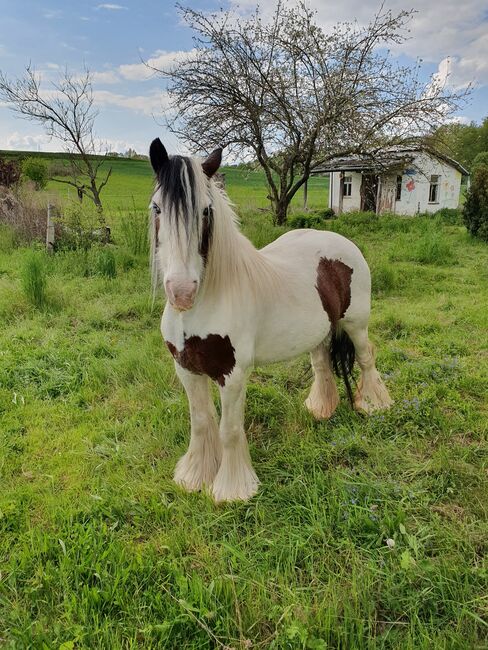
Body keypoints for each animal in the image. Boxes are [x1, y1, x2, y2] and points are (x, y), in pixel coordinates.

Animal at [149, 137, 392, 502]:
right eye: (157, 208)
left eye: (205, 211)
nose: (181, 291)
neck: (206, 302)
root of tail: (343, 243)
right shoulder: (187, 370)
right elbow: (202, 422)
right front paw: (194, 478)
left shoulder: (232, 375)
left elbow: (229, 429)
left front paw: (232, 490)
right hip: (319, 333)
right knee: (322, 365)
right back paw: (320, 409)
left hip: (356, 324)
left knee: (366, 358)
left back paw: (374, 405)